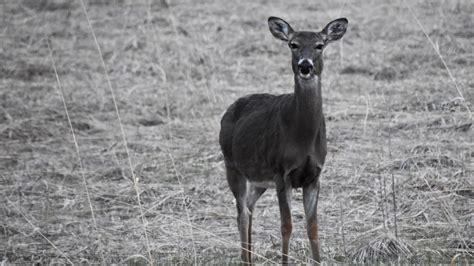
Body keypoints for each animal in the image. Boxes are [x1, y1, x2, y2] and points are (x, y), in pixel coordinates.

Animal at [219, 16, 348, 264]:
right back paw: (245, 259)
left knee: (249, 206)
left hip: (259, 178)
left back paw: (250, 257)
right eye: (293, 44)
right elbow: (286, 226)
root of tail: (228, 110)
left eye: (320, 45)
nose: (305, 66)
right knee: (241, 212)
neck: (303, 137)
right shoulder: (281, 173)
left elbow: (313, 227)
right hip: (232, 165)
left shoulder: (314, 176)